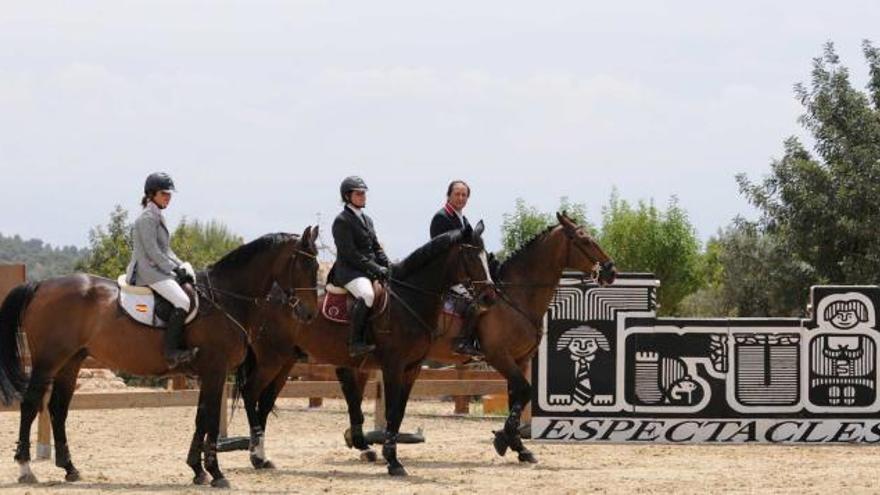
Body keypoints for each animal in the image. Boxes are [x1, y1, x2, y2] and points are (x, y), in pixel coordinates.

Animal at [0, 228, 324, 488]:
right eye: (306, 264)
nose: (308, 314)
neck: (225, 298)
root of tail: (41, 285)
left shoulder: (210, 373)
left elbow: (201, 417)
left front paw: (198, 471)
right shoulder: (215, 370)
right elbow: (208, 417)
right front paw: (216, 473)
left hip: (71, 361)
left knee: (58, 408)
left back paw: (70, 469)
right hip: (48, 361)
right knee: (30, 404)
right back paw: (26, 469)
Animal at [234, 221, 496, 476]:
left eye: (487, 256)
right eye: (471, 256)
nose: (489, 298)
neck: (409, 297)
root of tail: (265, 296)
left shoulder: (412, 369)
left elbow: (399, 412)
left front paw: (385, 454)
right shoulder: (393, 366)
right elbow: (391, 411)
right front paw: (393, 461)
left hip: (285, 360)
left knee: (265, 402)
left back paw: (261, 458)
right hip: (271, 358)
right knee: (251, 392)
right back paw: (256, 455)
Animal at [336, 212, 620, 464]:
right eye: (585, 240)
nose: (611, 271)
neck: (515, 298)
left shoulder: (520, 359)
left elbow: (517, 397)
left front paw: (518, 446)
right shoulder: (498, 356)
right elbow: (524, 391)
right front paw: (504, 439)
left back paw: (358, 440)